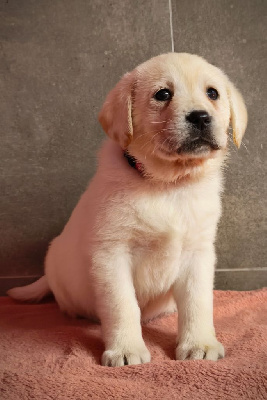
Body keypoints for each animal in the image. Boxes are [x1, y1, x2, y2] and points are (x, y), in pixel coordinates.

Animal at [7, 52, 249, 366]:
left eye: (213, 93)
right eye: (163, 94)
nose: (200, 116)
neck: (167, 185)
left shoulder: (198, 253)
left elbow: (198, 302)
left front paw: (199, 344)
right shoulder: (112, 254)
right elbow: (122, 306)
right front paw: (125, 349)